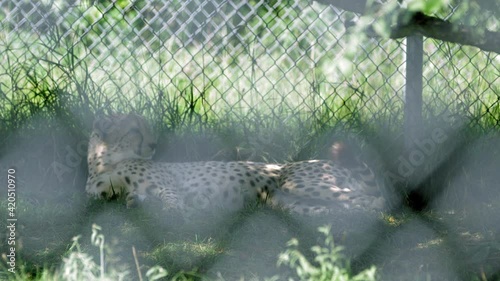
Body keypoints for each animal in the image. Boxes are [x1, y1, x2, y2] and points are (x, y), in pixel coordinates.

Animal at [85, 112, 386, 215]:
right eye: (135, 129)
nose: (154, 145)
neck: (103, 164)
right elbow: (134, 198)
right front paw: (136, 202)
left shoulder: (169, 186)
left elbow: (171, 200)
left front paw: (176, 209)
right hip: (286, 202)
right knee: (342, 206)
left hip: (298, 181)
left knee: (374, 199)